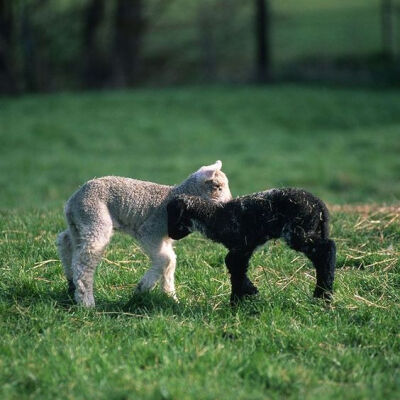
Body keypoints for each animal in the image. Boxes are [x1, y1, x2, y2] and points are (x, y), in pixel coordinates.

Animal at [56, 161, 231, 308]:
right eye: (218, 187)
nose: (229, 204)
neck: (177, 195)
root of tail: (72, 201)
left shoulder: (164, 239)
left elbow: (170, 263)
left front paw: (170, 296)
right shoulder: (150, 231)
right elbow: (166, 260)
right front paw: (142, 288)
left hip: (79, 224)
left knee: (66, 243)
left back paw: (71, 283)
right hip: (95, 219)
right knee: (85, 260)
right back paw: (86, 302)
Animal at [167, 188, 336, 304]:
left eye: (173, 216)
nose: (170, 235)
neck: (215, 216)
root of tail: (319, 204)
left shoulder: (240, 245)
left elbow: (235, 269)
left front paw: (236, 302)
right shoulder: (244, 247)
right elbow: (236, 268)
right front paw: (250, 292)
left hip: (298, 232)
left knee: (327, 249)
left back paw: (323, 294)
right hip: (312, 230)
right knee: (322, 255)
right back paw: (323, 293)